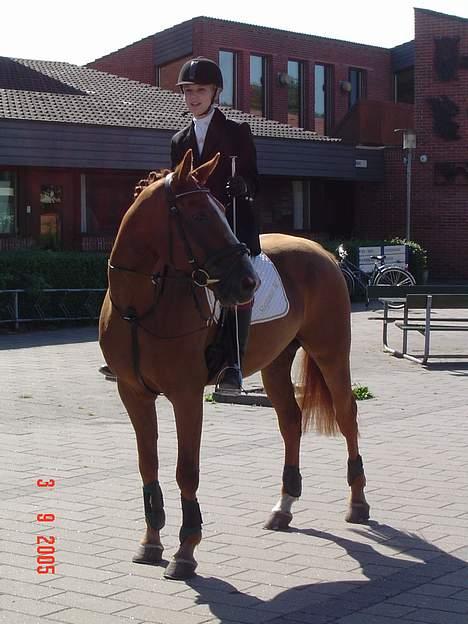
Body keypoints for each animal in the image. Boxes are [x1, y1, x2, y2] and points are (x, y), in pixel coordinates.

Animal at [98, 149, 370, 584]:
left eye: (224, 211)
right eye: (198, 216)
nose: (248, 284)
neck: (140, 308)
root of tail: (323, 252)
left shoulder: (186, 395)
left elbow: (186, 470)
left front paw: (186, 550)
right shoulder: (134, 394)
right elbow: (147, 464)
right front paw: (151, 542)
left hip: (330, 352)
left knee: (347, 416)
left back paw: (358, 503)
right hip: (276, 364)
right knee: (290, 422)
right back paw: (283, 507)